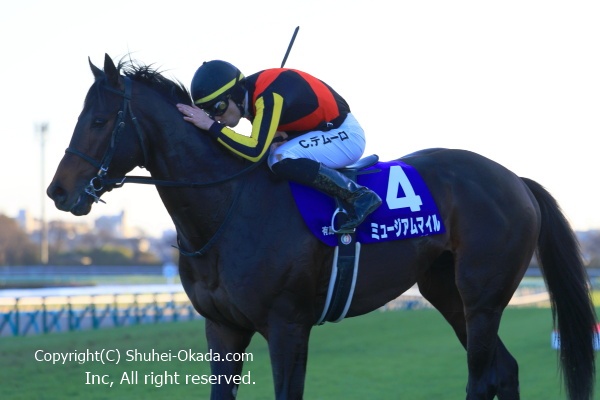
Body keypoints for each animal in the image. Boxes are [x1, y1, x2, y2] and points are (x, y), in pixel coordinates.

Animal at [47, 53, 597, 400]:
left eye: (98, 121)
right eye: (78, 117)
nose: (57, 192)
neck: (228, 210)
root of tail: (515, 179)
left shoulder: (288, 326)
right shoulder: (221, 327)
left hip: (483, 296)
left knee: (482, 379)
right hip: (447, 293)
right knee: (505, 371)